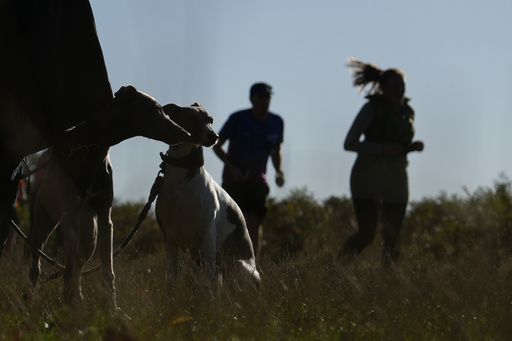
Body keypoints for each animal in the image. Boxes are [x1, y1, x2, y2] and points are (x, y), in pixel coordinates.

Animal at [155, 102, 260, 290]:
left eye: (210, 120)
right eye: (192, 119)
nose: (214, 136)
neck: (181, 177)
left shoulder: (208, 237)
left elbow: (209, 281)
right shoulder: (169, 239)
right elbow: (171, 280)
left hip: (235, 263)